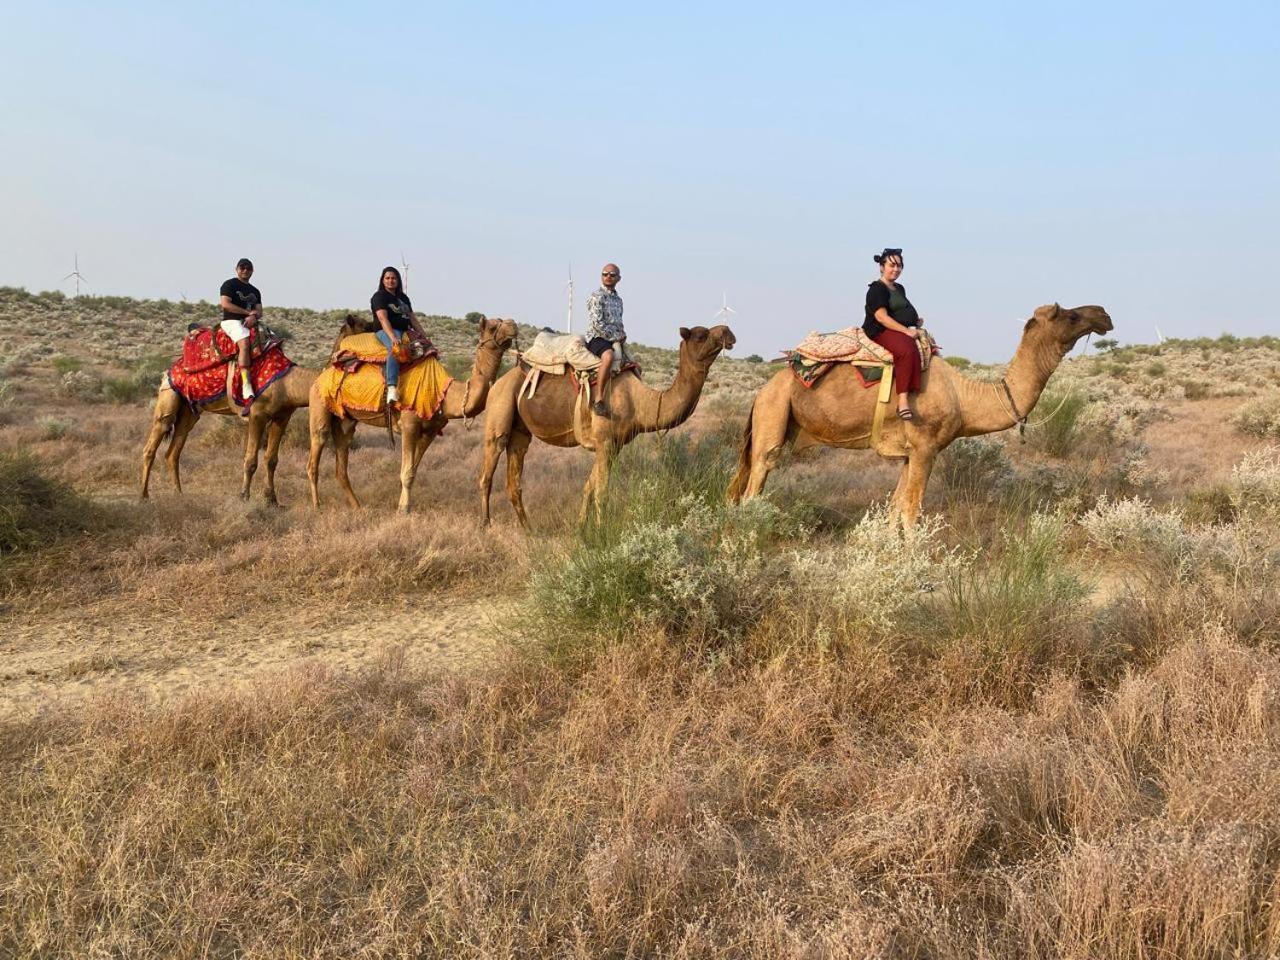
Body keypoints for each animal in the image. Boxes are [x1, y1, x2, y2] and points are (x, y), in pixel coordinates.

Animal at [481, 323, 742, 527]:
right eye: (701, 335)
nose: (729, 332)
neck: (641, 401)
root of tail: (500, 380)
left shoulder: (613, 445)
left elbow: (589, 487)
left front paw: (581, 529)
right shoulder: (605, 441)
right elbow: (601, 491)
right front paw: (600, 532)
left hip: (521, 432)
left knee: (514, 481)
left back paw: (529, 529)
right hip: (499, 410)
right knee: (488, 470)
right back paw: (486, 525)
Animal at [727, 302, 1116, 527]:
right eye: (1071, 315)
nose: (1105, 314)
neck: (965, 397)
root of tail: (761, 392)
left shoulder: (908, 454)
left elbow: (895, 507)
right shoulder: (926, 448)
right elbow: (912, 510)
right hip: (774, 413)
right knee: (756, 480)